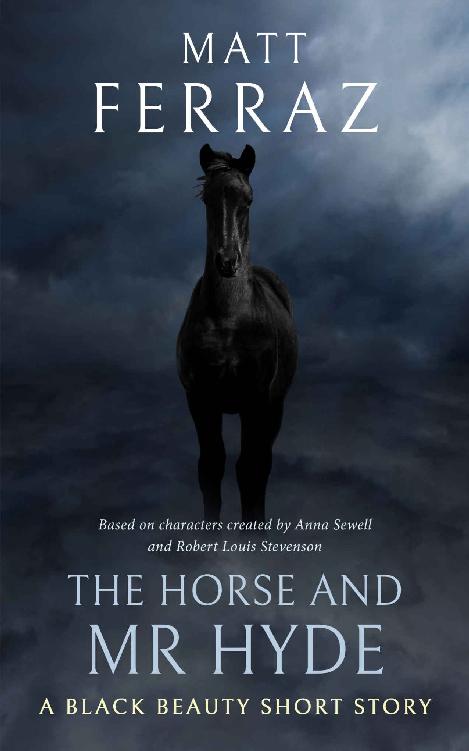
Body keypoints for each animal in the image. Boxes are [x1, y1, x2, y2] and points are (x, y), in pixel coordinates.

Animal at [177, 144, 297, 522]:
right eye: (207, 199)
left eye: (249, 199)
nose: (228, 262)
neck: (230, 320)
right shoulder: (200, 399)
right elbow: (211, 467)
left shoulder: (257, 401)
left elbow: (250, 469)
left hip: (275, 406)